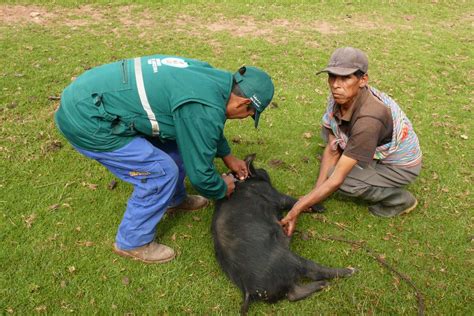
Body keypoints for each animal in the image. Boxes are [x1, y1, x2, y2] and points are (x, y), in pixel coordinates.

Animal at [212, 154, 356, 314]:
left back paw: (323, 284)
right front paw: (321, 208)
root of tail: (248, 290)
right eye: (259, 170)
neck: (242, 182)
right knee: (314, 270)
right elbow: (294, 201)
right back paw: (349, 271)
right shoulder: (275, 196)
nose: (263, 169)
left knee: (294, 294)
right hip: (290, 260)